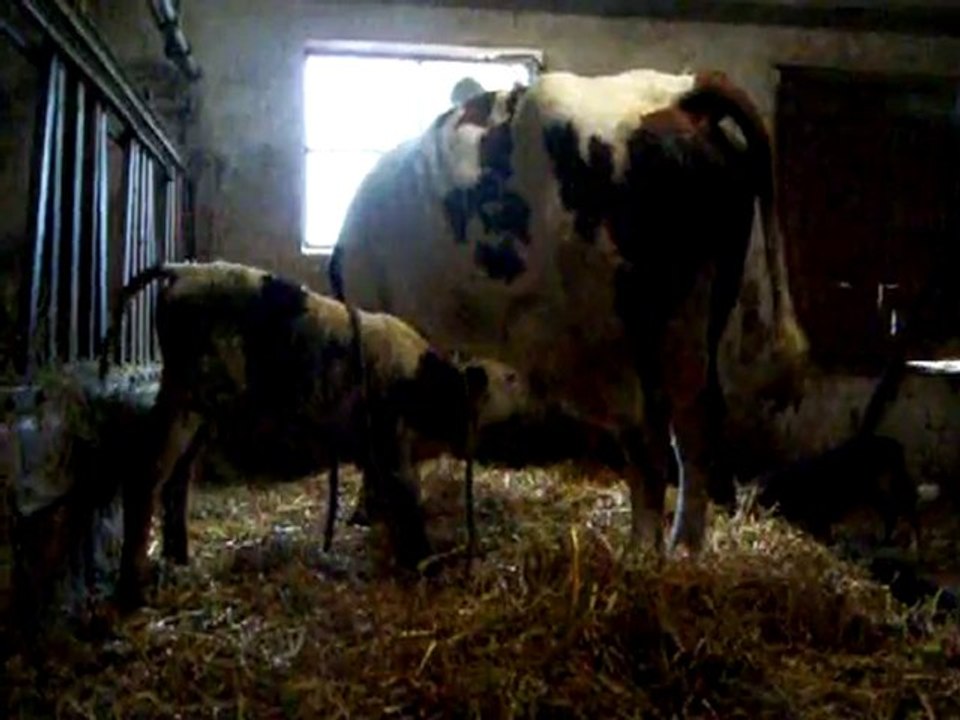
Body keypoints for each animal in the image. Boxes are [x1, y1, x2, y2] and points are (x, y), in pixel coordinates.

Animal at [97, 260, 531, 609]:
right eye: (509, 378)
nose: (533, 386)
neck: (426, 391)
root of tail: (182, 269)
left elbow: (376, 490)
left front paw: (364, 521)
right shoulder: (391, 441)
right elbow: (407, 501)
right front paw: (426, 564)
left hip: (202, 411)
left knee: (179, 477)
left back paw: (180, 558)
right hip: (185, 397)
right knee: (146, 472)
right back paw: (132, 594)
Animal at [329, 67, 809, 560]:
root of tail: (676, 90)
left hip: (621, 332)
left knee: (649, 436)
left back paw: (641, 550)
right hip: (697, 316)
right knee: (696, 421)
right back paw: (685, 548)